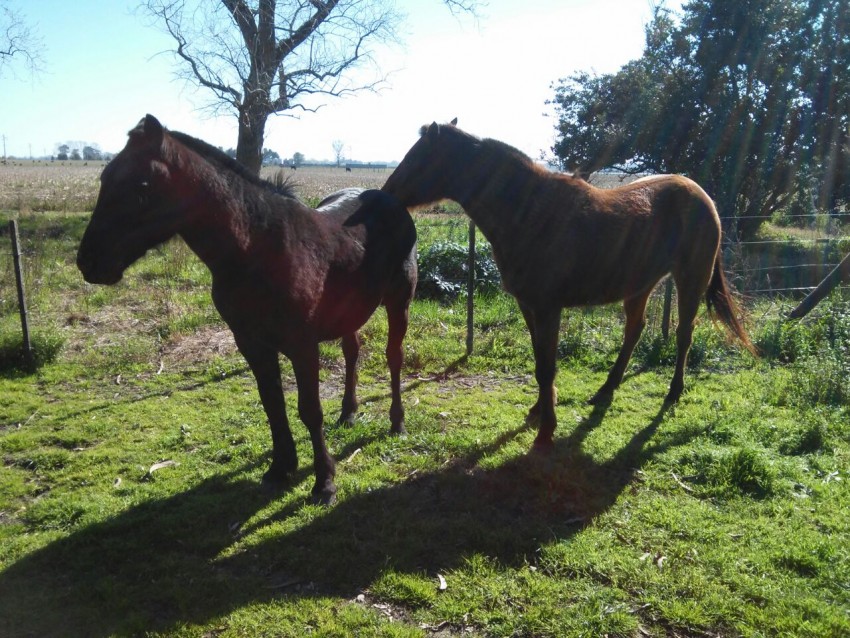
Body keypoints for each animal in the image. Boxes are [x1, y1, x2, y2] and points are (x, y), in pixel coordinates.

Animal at [78, 115, 416, 504]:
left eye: (142, 185)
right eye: (105, 177)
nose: (88, 261)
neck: (257, 249)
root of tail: (390, 199)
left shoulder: (302, 345)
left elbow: (309, 410)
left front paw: (324, 483)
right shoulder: (251, 343)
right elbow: (273, 405)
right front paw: (281, 469)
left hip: (399, 302)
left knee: (394, 357)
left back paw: (397, 422)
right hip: (350, 312)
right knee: (352, 352)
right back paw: (348, 414)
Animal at [380, 120, 752, 456]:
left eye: (417, 157)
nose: (386, 195)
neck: (528, 212)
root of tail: (704, 198)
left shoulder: (547, 308)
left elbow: (547, 367)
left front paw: (546, 432)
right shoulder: (529, 306)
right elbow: (539, 362)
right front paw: (539, 411)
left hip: (690, 280)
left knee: (683, 334)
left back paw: (673, 393)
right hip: (640, 286)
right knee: (634, 330)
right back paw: (606, 390)